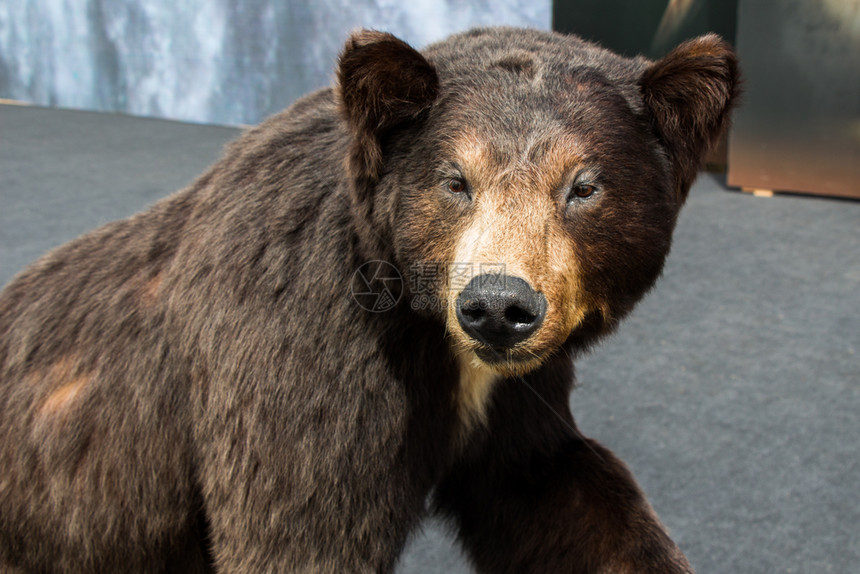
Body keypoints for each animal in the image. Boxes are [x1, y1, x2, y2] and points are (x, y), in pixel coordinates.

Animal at [1, 25, 740, 574]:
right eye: (455, 179)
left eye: (583, 185)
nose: (497, 306)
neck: (425, 329)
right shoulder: (300, 365)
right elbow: (300, 531)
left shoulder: (515, 399)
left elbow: (558, 489)